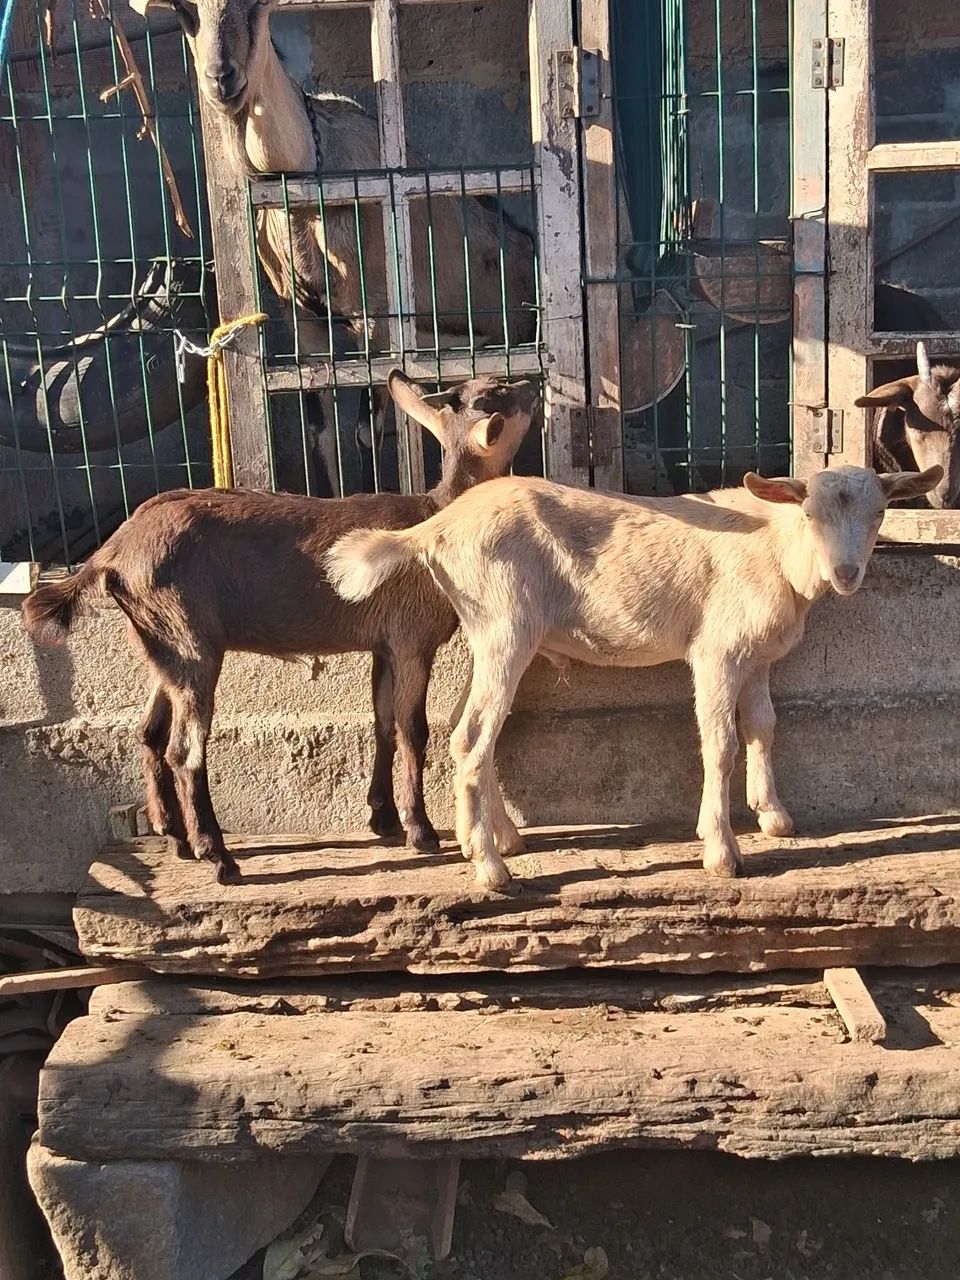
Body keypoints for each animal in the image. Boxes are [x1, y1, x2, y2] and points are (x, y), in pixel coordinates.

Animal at [22, 370, 539, 883]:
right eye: (497, 395)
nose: (532, 386)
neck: (436, 517)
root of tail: (112, 552)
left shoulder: (383, 645)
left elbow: (383, 723)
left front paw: (383, 818)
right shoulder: (412, 638)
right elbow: (413, 728)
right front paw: (421, 831)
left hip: (161, 641)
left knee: (150, 731)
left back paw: (176, 839)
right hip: (191, 641)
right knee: (185, 750)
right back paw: (218, 856)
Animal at [328, 463, 941, 891]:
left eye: (879, 514)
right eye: (810, 514)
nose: (847, 573)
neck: (776, 547)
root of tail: (436, 527)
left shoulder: (758, 657)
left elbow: (763, 728)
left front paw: (774, 816)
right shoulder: (716, 651)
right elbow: (720, 743)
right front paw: (721, 851)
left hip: (489, 633)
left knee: (466, 728)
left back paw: (500, 838)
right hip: (504, 624)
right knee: (472, 735)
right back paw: (491, 868)